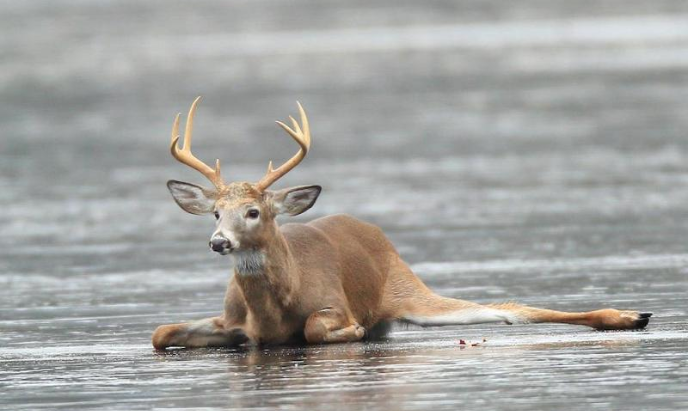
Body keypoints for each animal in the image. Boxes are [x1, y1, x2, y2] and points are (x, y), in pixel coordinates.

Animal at [150, 97, 652, 350]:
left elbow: (315, 328)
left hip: (407, 288)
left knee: (511, 308)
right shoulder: (231, 320)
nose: (218, 242)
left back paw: (632, 315)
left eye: (254, 212)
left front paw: (352, 331)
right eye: (216, 212)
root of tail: (374, 232)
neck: (272, 307)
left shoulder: (333, 303)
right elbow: (159, 334)